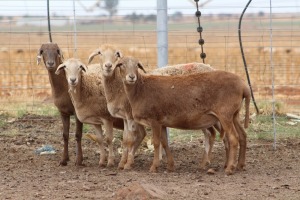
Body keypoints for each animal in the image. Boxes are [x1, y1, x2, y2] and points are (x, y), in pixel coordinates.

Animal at [116, 56, 250, 175]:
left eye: (137, 65)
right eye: (121, 64)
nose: (131, 77)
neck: (141, 90)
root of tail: (244, 86)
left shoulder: (155, 120)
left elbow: (156, 143)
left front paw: (154, 167)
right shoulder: (162, 122)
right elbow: (165, 143)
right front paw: (170, 166)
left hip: (225, 114)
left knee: (233, 138)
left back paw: (230, 168)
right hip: (234, 114)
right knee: (242, 135)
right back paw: (240, 165)